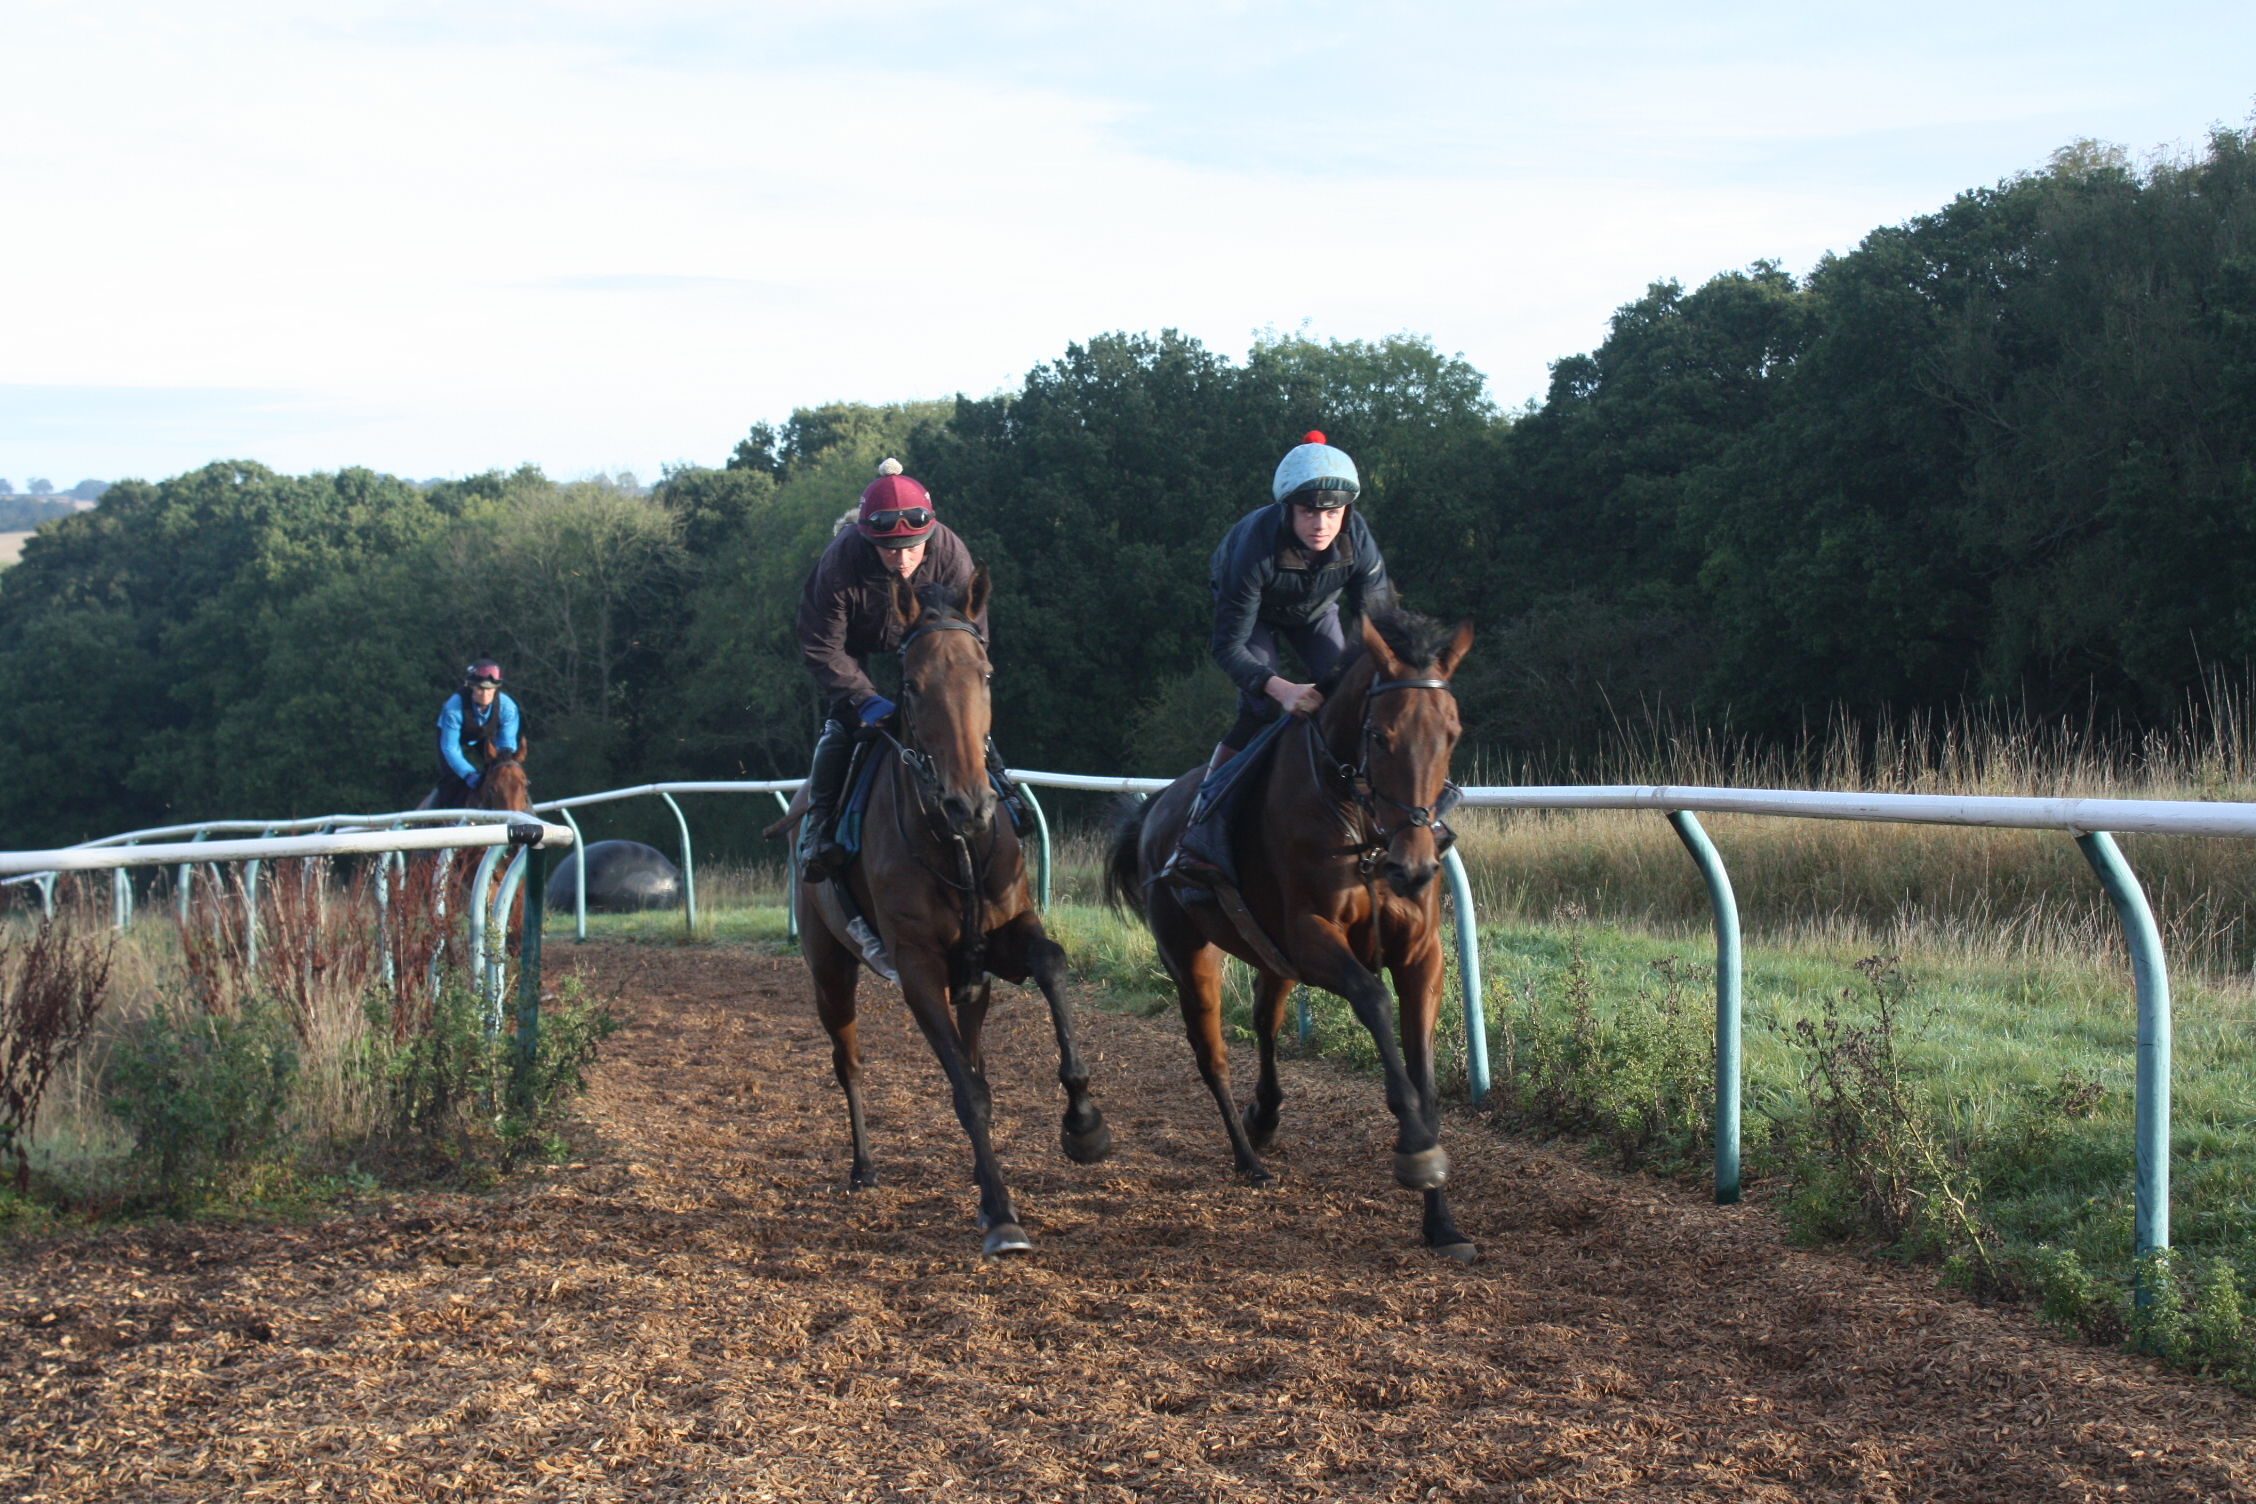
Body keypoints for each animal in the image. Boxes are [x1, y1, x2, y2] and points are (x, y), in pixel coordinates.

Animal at [776, 563, 1118, 1262]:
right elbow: (968, 1092)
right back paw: (864, 1167)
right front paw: (1002, 1214)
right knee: (849, 1060)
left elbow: (1052, 965)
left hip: (973, 981)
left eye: (984, 673)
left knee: (975, 1045)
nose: (971, 803)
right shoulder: (917, 968)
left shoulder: (1001, 938)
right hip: (829, 970)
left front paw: (1084, 1123)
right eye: (911, 684)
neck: (954, 843)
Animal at [1105, 604, 1479, 1262]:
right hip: (1190, 954)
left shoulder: (1421, 952)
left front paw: (1442, 1221)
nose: (1413, 867)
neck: (1363, 831)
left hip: (1266, 953)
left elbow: (1426, 1071)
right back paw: (1247, 1157)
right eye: (1380, 736)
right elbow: (1373, 1000)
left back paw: (1266, 1115)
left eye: (1452, 734)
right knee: (1212, 1054)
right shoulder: (1309, 937)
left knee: (1265, 1021)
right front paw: (1414, 1147)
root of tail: (1153, 811)